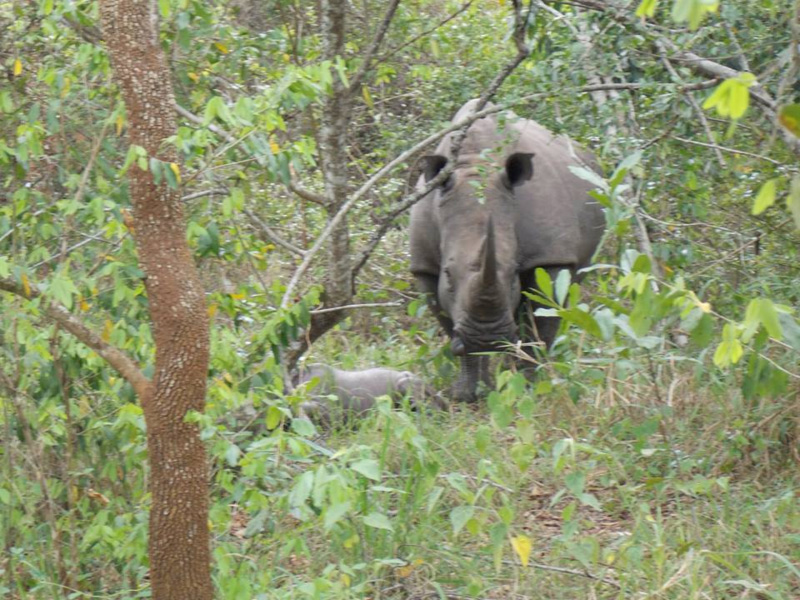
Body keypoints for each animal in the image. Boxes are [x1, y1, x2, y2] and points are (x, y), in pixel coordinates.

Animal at [409, 99, 605, 402]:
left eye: (514, 272)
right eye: (448, 275)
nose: (487, 338)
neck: (476, 165)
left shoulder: (549, 256)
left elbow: (541, 321)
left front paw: (527, 388)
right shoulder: (425, 264)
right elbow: (449, 322)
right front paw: (468, 395)